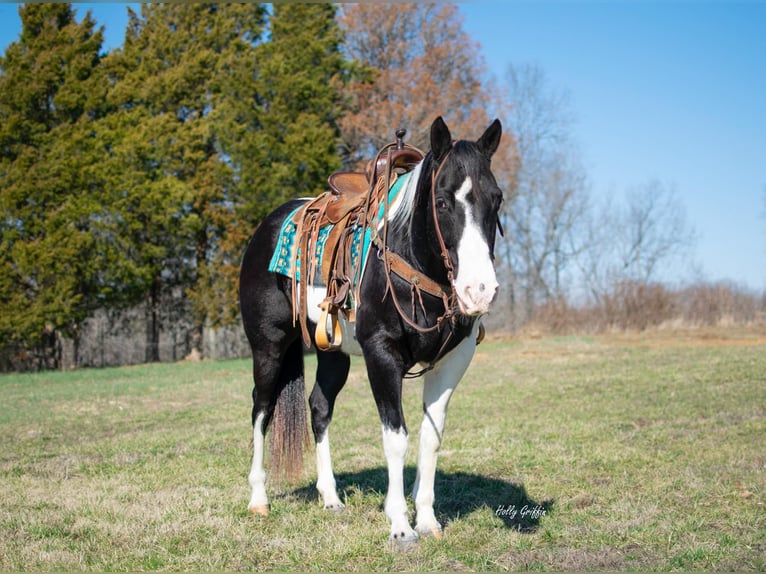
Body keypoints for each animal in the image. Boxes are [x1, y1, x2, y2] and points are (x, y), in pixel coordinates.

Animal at [240, 116, 504, 544]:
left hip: (333, 353)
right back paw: (258, 499)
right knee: (261, 409)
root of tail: (267, 226)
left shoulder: (453, 359)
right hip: (269, 346)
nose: (479, 290)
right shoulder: (382, 353)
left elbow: (430, 437)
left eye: (496, 199)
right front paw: (400, 525)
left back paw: (330, 497)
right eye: (443, 202)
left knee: (319, 407)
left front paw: (427, 519)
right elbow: (396, 438)